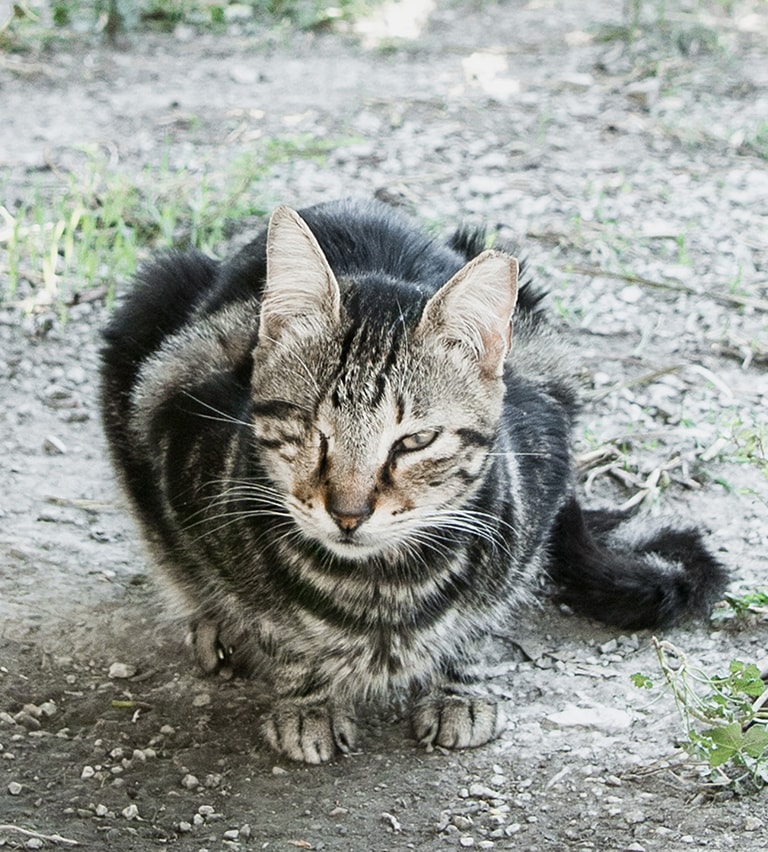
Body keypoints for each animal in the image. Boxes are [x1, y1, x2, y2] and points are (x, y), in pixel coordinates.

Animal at [100, 196, 728, 764]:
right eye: (311, 429)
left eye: (415, 442)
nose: (348, 513)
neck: (377, 588)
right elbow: (270, 620)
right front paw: (306, 699)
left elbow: (479, 617)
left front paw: (456, 684)